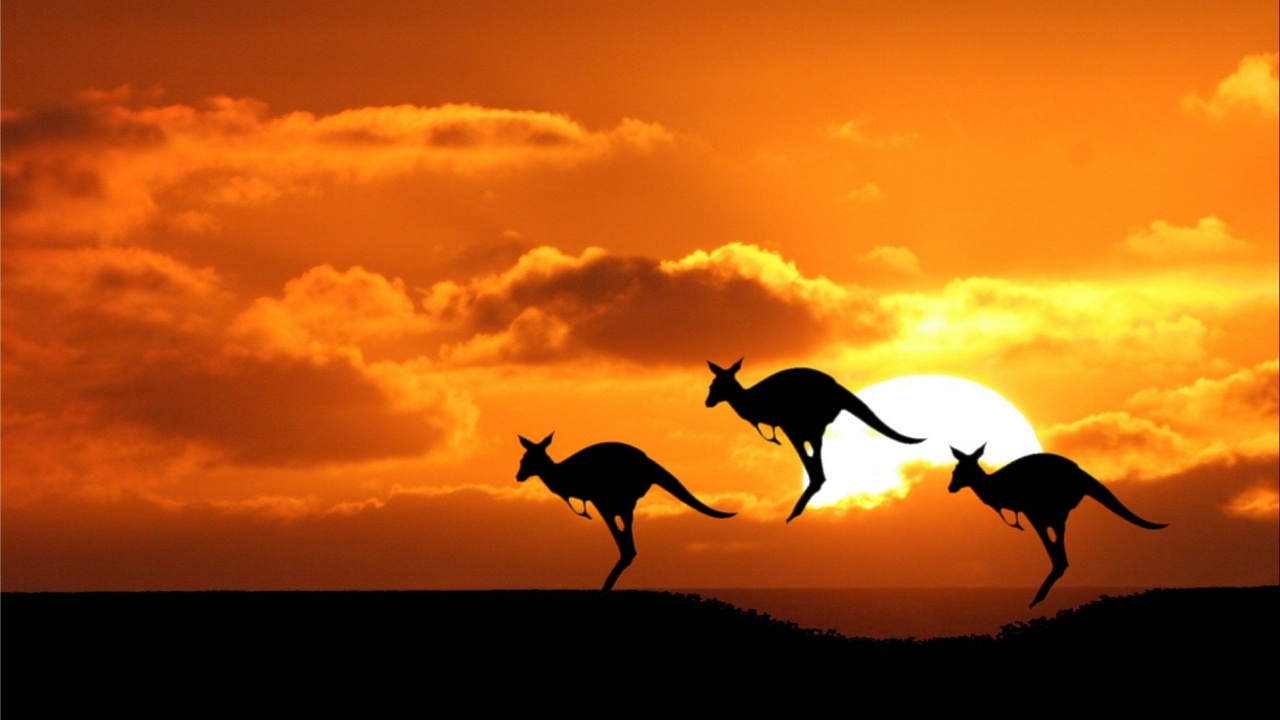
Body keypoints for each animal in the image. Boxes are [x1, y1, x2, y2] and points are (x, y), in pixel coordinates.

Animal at [516, 433, 736, 591]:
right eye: (522, 459)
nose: (518, 476)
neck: (562, 475)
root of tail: (648, 463)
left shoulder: (599, 499)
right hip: (620, 502)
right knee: (628, 545)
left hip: (614, 497)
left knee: (627, 548)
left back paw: (605, 588)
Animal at [705, 358, 924, 523]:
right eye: (712, 384)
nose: (708, 402)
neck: (751, 401)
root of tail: (837, 388)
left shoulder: (787, 424)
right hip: (809, 427)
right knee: (817, 468)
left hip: (801, 423)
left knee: (816, 471)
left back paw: (794, 512)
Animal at [948, 444, 1168, 608]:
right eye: (955, 470)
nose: (951, 488)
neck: (993, 486)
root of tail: (1080, 474)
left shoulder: (1030, 509)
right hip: (1051, 511)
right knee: (1060, 552)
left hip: (1046, 508)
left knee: (1059, 556)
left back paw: (1037, 599)